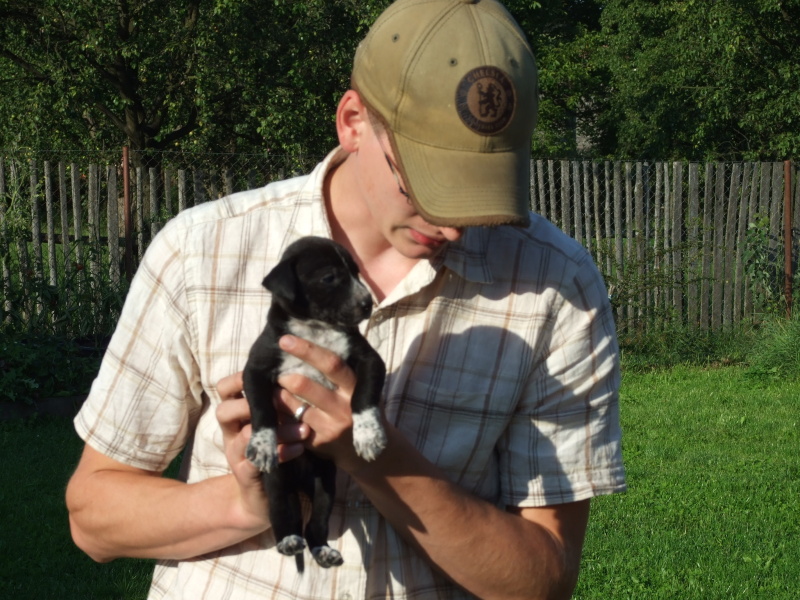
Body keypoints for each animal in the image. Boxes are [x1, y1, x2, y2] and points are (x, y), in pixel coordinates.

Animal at [243, 236, 387, 570]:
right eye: (330, 278)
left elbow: (363, 397)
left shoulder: (369, 360)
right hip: (278, 484)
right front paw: (263, 445)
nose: (368, 304)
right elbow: (262, 410)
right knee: (285, 516)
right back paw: (288, 541)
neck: (316, 329)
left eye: (356, 272)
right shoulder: (255, 369)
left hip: (325, 486)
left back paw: (324, 552)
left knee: (316, 526)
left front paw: (368, 435)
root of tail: (300, 482)